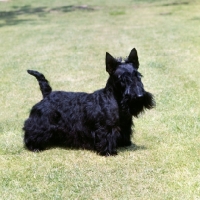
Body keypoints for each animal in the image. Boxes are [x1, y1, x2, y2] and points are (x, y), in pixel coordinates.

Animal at [23, 48, 155, 156]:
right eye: (121, 78)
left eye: (138, 76)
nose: (139, 96)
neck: (116, 101)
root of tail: (48, 94)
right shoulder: (106, 128)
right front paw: (109, 152)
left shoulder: (125, 125)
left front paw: (124, 143)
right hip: (41, 123)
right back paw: (34, 146)